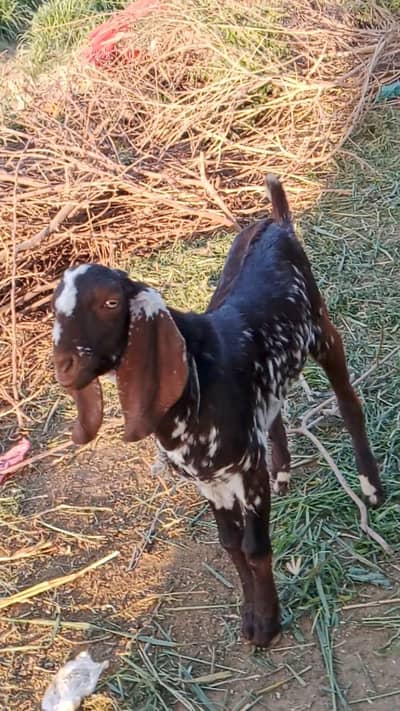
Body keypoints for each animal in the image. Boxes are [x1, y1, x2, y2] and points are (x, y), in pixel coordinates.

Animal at [52, 175, 384, 647]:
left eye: (110, 303)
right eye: (55, 307)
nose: (63, 365)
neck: (197, 378)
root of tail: (276, 221)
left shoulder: (246, 470)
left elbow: (253, 547)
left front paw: (267, 623)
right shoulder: (209, 481)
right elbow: (229, 544)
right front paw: (251, 615)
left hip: (322, 329)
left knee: (348, 402)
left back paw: (371, 488)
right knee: (275, 409)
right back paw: (284, 471)